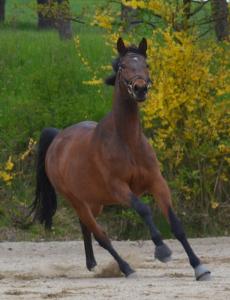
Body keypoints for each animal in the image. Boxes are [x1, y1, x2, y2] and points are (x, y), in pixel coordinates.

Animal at [31, 37, 210, 282]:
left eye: (146, 64)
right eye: (123, 66)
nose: (140, 88)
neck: (128, 142)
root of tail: (57, 138)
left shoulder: (157, 182)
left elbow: (176, 224)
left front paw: (199, 267)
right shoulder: (119, 188)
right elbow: (143, 209)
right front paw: (162, 250)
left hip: (94, 201)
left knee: (86, 227)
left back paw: (92, 264)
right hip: (77, 201)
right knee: (101, 235)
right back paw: (126, 268)